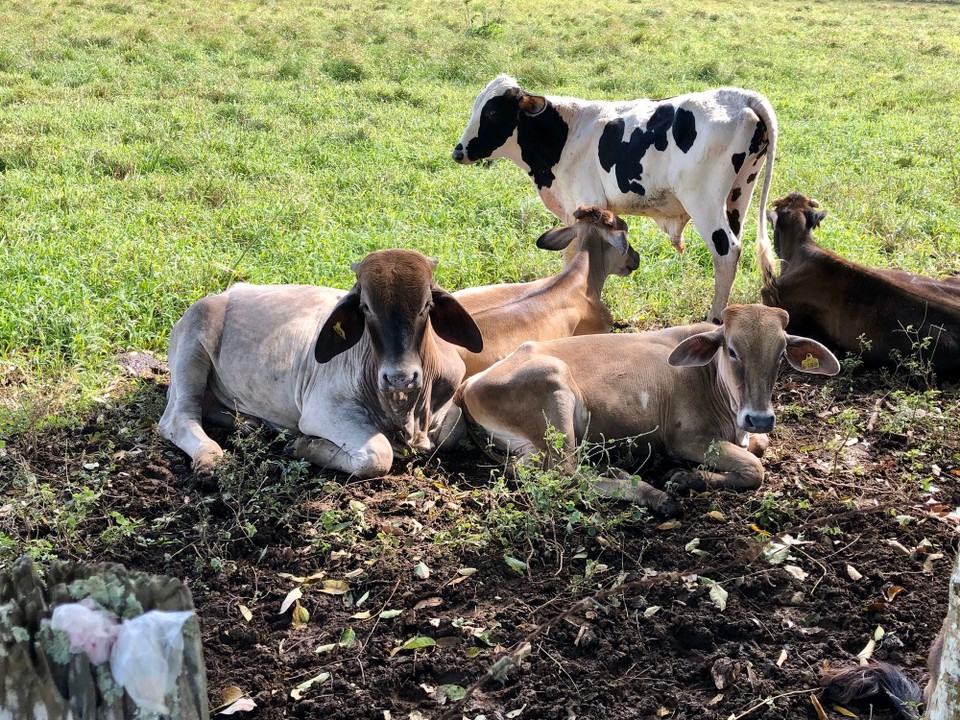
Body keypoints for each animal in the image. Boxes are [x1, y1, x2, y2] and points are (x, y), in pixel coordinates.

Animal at [162, 248, 488, 478]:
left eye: (425, 305)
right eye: (365, 307)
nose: (400, 377)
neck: (407, 411)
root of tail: (224, 294)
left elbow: (453, 431)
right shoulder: (322, 412)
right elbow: (378, 455)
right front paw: (304, 445)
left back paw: (249, 425)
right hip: (192, 349)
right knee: (177, 418)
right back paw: (209, 455)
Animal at [452, 72, 780, 320]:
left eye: (493, 111)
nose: (458, 152)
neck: (564, 134)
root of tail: (738, 96)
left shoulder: (585, 203)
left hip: (704, 201)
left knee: (726, 250)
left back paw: (713, 320)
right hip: (739, 195)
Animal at [458, 302, 840, 512]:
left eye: (780, 354)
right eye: (732, 350)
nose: (759, 418)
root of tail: (470, 384)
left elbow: (758, 449)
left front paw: (688, 477)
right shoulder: (685, 439)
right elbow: (755, 468)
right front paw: (682, 478)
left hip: (532, 444)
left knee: (530, 470)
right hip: (554, 390)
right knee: (565, 473)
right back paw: (651, 493)